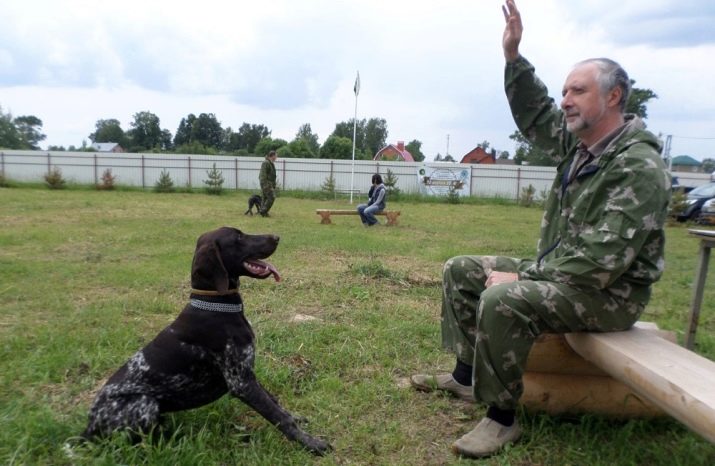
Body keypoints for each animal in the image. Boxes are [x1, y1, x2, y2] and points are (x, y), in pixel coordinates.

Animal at [79, 226, 332, 456]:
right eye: (239, 237)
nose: (277, 237)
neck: (215, 304)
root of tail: (87, 430)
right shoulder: (241, 382)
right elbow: (278, 417)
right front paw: (311, 443)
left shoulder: (248, 375)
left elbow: (276, 402)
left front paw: (296, 418)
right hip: (143, 403)